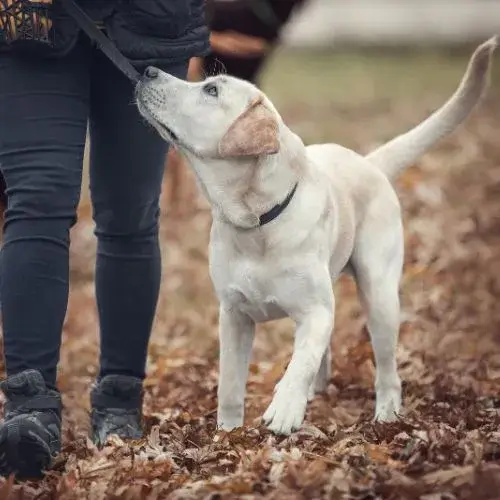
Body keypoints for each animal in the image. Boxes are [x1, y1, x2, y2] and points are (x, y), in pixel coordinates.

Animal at [136, 37, 496, 434]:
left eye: (211, 90)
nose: (147, 70)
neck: (257, 223)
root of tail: (369, 163)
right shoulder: (233, 315)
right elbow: (230, 385)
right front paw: (227, 433)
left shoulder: (316, 311)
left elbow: (301, 362)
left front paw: (285, 408)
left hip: (380, 295)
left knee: (386, 368)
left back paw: (386, 414)